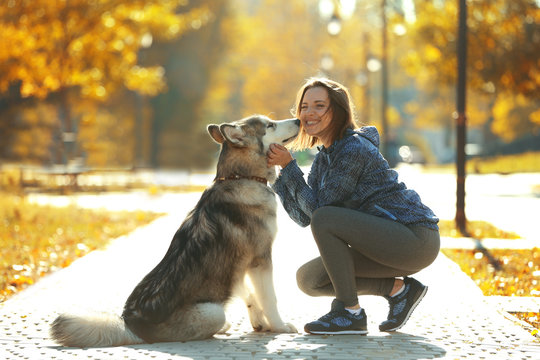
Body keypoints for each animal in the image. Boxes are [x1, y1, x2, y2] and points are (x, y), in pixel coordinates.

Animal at [50, 114, 300, 346]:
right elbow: (269, 298)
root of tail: (131, 324)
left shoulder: (238, 267)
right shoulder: (260, 259)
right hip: (213, 312)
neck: (242, 177)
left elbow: (249, 293)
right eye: (270, 125)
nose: (298, 120)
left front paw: (260, 322)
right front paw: (279, 326)